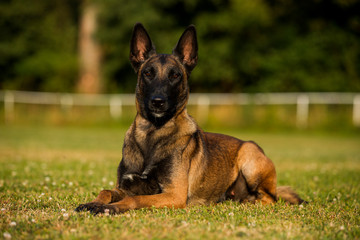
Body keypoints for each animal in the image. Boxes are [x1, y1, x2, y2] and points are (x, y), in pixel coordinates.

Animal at [74, 22, 306, 214]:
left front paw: (110, 208)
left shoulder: (173, 195)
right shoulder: (126, 186)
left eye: (175, 75)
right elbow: (106, 191)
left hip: (250, 156)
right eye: (148, 73)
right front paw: (94, 203)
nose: (158, 102)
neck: (153, 133)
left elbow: (135, 199)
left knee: (269, 199)